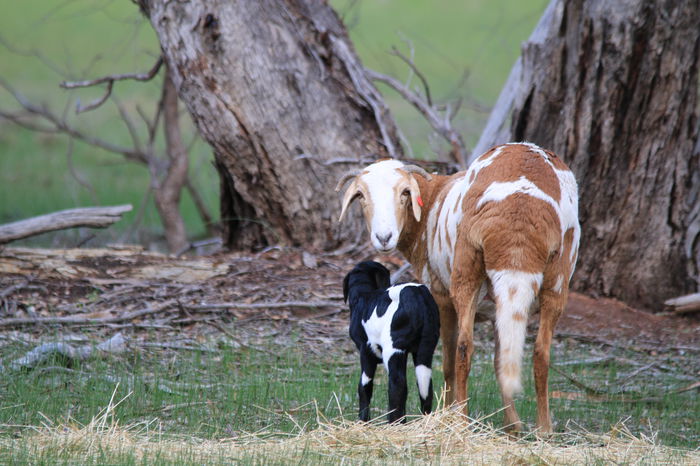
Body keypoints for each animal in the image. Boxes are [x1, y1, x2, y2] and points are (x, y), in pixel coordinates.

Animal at [344, 260, 440, 424]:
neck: (362, 296)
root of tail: (417, 295)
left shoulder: (365, 351)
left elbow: (364, 387)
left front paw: (363, 421)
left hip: (393, 348)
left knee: (397, 384)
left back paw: (394, 423)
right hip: (425, 348)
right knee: (424, 385)